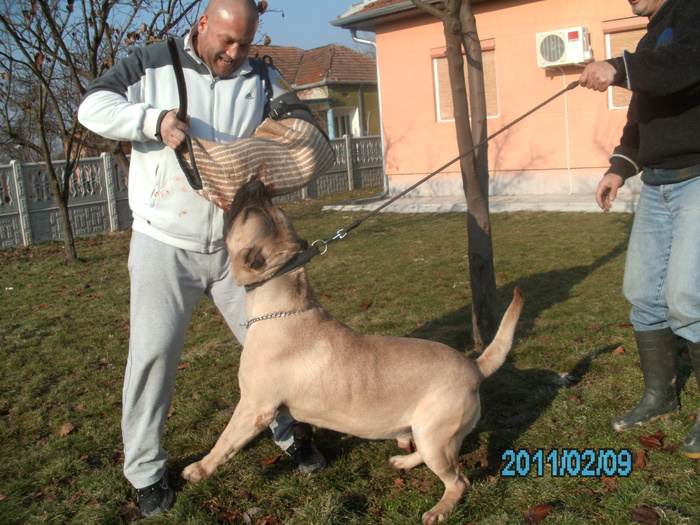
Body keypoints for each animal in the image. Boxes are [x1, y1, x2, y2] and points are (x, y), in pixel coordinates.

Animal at [183, 181, 524, 524]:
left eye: (248, 213)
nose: (256, 184)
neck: (284, 303)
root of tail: (474, 367)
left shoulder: (254, 407)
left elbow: (225, 441)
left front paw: (199, 469)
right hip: (428, 433)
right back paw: (405, 461)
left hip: (436, 434)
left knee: (458, 481)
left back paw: (439, 510)